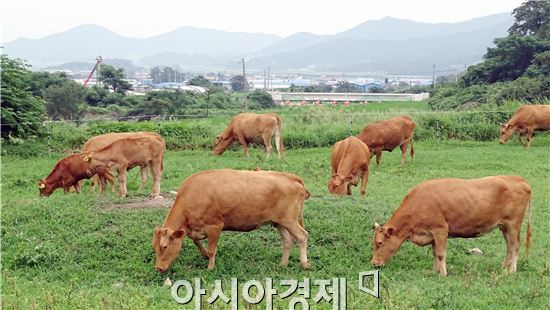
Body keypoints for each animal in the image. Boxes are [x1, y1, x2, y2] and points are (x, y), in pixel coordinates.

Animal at [153, 168, 312, 272]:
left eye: (164, 246)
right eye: (154, 247)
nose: (158, 268)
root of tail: (289, 176)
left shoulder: (215, 226)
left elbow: (212, 250)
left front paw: (210, 267)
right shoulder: (194, 228)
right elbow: (196, 240)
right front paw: (204, 255)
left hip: (290, 220)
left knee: (302, 236)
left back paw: (304, 263)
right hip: (279, 222)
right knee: (287, 240)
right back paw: (283, 264)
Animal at [374, 177, 532, 276]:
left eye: (380, 243)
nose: (374, 263)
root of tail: (518, 178)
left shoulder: (440, 230)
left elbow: (441, 253)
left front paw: (443, 273)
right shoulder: (432, 234)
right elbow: (435, 253)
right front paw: (435, 270)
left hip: (514, 224)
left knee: (515, 246)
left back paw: (512, 270)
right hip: (504, 226)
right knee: (509, 247)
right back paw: (504, 267)